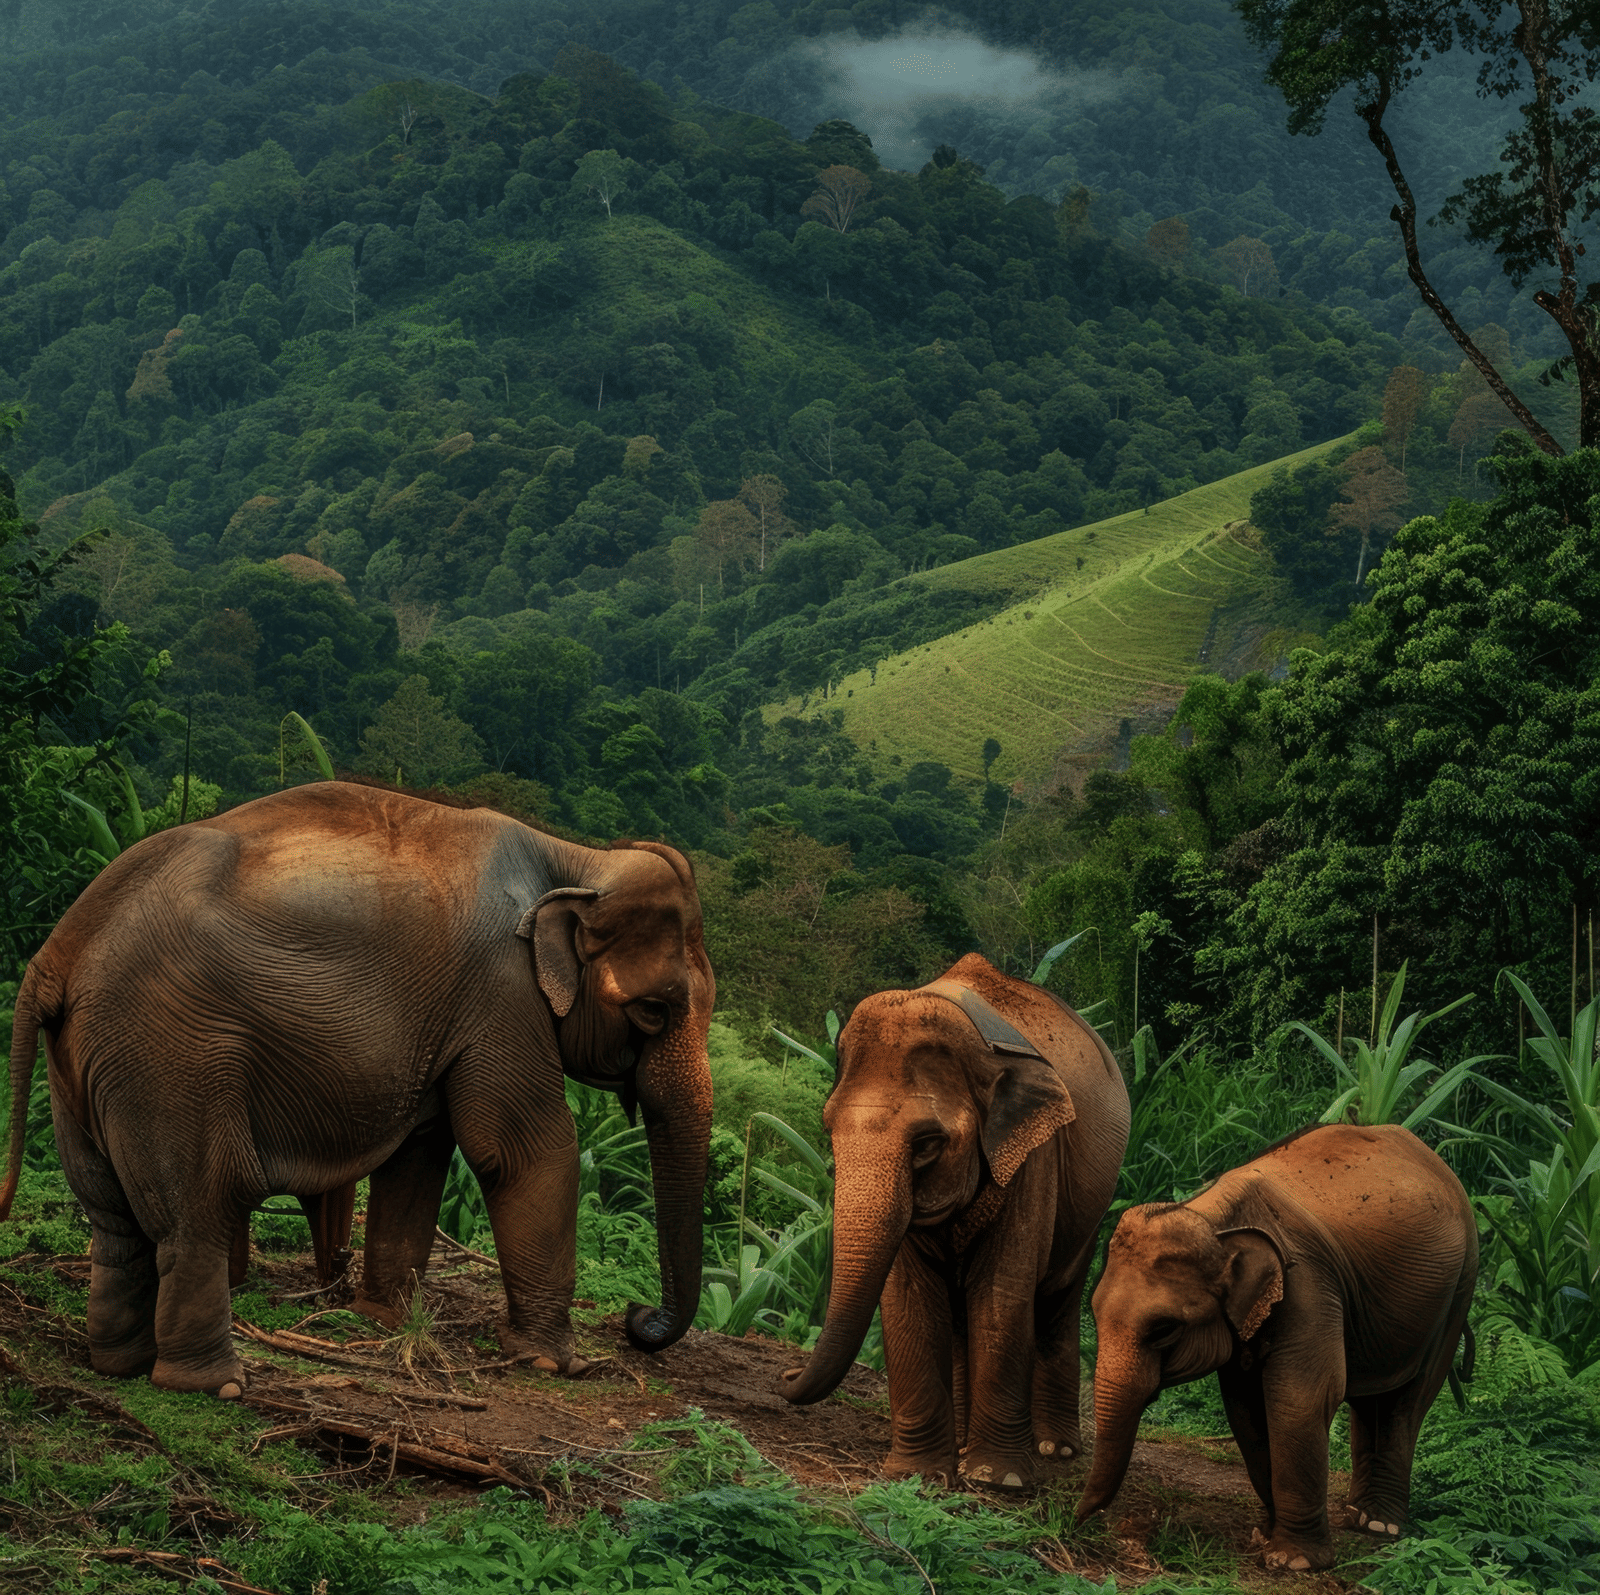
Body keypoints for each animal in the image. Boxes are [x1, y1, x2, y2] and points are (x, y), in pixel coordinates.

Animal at [0, 781, 715, 1398]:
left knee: (111, 1216)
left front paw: (385, 1321)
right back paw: (216, 1384)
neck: (576, 856)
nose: (638, 1319)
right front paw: (553, 1362)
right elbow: (520, 1150)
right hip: (171, 1054)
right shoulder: (501, 991)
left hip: (86, 1061)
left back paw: (119, 1366)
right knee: (195, 1207)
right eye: (654, 1012)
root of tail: (54, 955)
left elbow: (421, 1151)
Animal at [780, 953, 1130, 1491]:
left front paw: (999, 1479)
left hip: (1092, 1207)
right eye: (827, 1130)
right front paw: (919, 1475)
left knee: (1057, 1300)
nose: (785, 1376)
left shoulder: (1035, 1154)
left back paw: (1054, 1450)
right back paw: (965, 1445)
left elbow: (1002, 1291)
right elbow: (910, 1296)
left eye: (927, 1144)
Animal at [1077, 1122, 1477, 1571]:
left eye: (1163, 1329)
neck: (1212, 1218)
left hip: (1460, 1287)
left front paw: (1293, 1561)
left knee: (1407, 1399)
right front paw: (1266, 1536)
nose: (1078, 1521)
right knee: (1369, 1398)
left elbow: (1300, 1398)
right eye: (1092, 1311)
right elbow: (1246, 1404)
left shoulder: (1308, 1286)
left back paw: (1380, 1526)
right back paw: (1357, 1516)